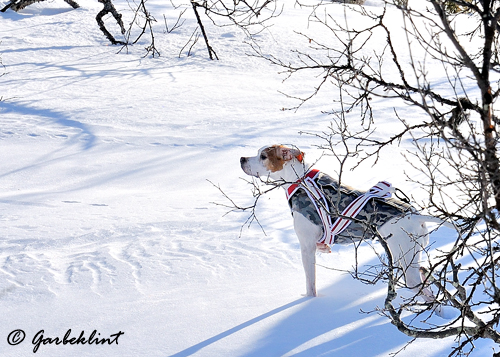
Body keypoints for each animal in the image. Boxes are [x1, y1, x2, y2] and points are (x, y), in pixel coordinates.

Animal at [240, 144, 448, 304]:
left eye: (263, 156)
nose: (242, 158)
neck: (301, 182)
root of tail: (415, 216)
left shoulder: (306, 247)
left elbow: (310, 284)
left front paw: (308, 301)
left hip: (406, 262)